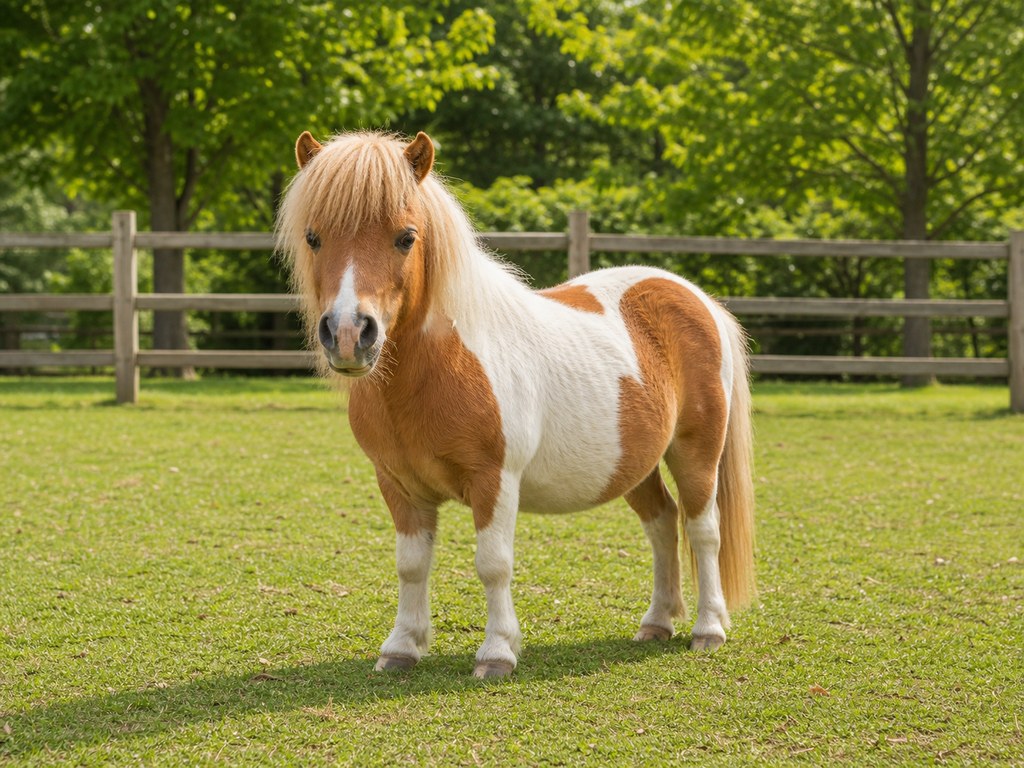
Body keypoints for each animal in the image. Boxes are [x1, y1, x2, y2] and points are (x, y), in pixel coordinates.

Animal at [276, 130, 755, 679]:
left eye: (406, 237)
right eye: (313, 237)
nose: (349, 334)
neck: (437, 368)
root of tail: (695, 296)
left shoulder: (495, 481)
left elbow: (493, 564)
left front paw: (498, 652)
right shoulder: (399, 486)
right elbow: (411, 565)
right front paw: (401, 647)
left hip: (697, 453)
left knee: (703, 530)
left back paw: (708, 628)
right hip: (636, 465)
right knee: (661, 524)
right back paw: (657, 622)